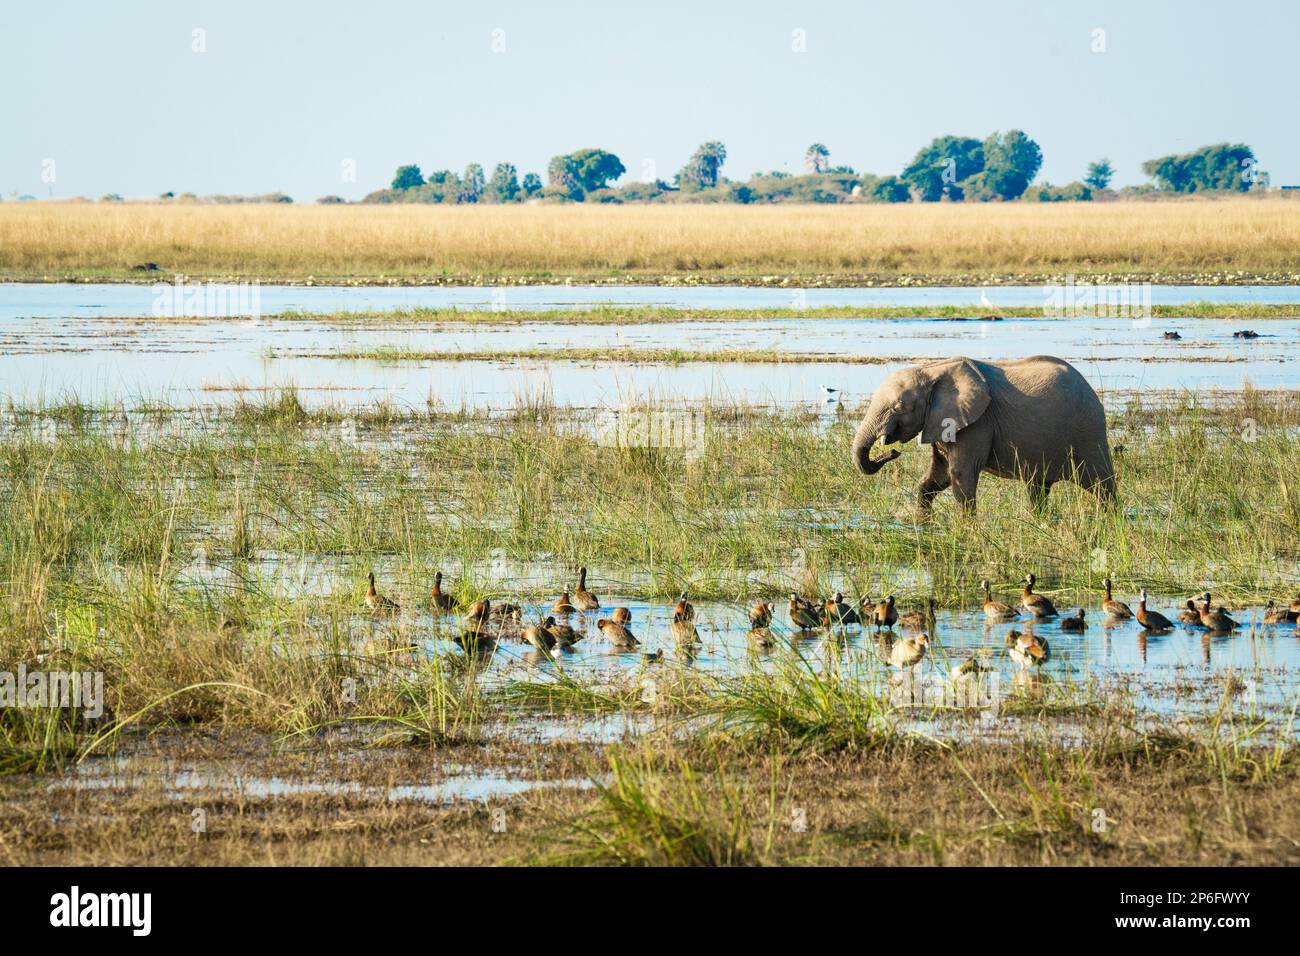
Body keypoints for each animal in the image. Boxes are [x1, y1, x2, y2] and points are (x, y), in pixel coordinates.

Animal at [852, 356, 1118, 512]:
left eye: (898, 407)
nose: (893, 452)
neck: (932, 370)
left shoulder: (978, 423)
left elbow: (960, 475)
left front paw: (967, 532)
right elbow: (936, 478)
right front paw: (922, 523)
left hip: (1088, 430)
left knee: (1102, 486)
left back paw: (1110, 521)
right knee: (1038, 488)